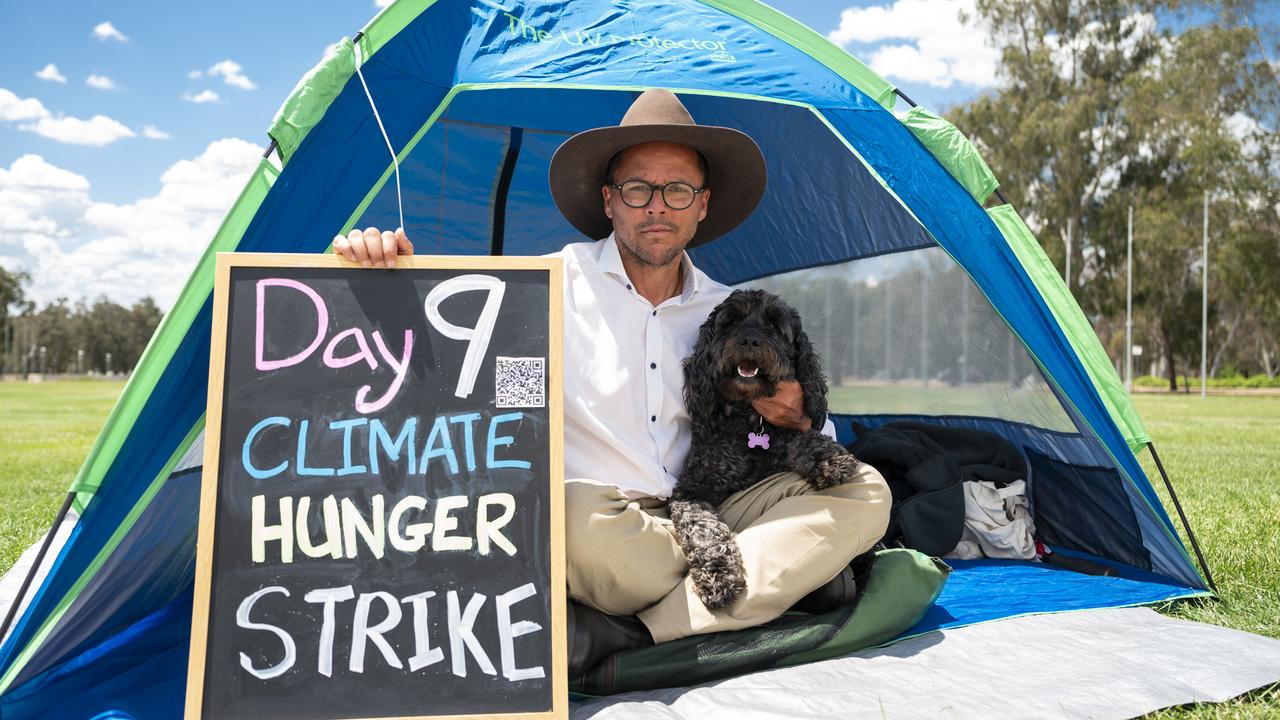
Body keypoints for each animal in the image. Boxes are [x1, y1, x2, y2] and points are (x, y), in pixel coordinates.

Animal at [670, 288, 860, 607]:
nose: (749, 339)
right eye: (731, 321)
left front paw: (829, 458)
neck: (748, 417)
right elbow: (704, 529)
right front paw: (719, 574)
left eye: (774, 325)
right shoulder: (690, 490)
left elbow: (799, 437)